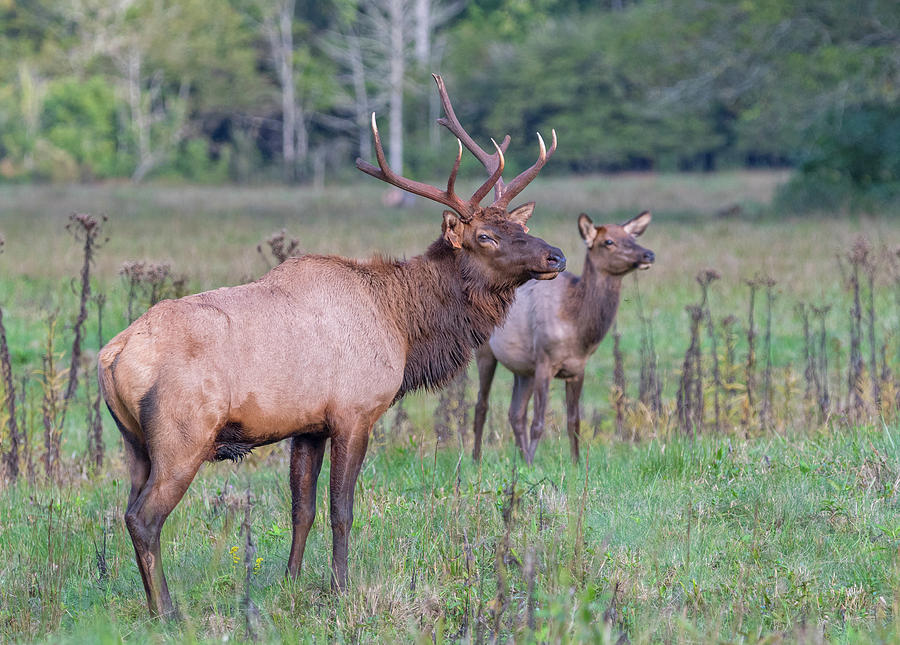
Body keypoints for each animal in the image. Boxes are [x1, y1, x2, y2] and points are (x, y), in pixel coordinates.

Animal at [98, 74, 564, 612]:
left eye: (522, 226)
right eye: (485, 236)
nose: (556, 255)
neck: (402, 325)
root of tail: (110, 356)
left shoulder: (308, 426)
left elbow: (302, 508)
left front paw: (292, 581)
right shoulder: (354, 411)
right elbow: (342, 508)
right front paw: (341, 586)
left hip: (135, 443)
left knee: (127, 510)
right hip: (183, 435)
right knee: (144, 517)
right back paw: (168, 611)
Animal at [472, 210, 652, 462]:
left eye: (632, 238)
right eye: (608, 242)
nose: (648, 254)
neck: (577, 330)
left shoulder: (576, 369)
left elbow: (574, 421)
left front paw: (576, 463)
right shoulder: (544, 361)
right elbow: (538, 422)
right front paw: (532, 464)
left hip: (523, 369)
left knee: (515, 413)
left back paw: (519, 457)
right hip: (485, 352)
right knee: (482, 404)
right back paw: (476, 459)